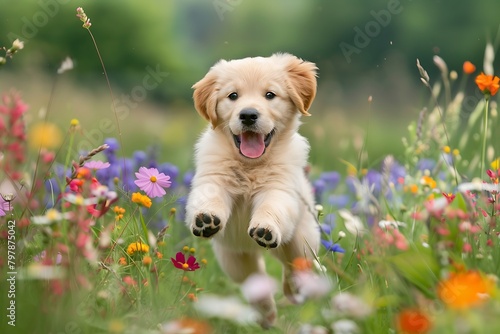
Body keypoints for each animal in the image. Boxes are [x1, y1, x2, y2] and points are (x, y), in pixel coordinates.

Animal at [185, 53, 320, 328]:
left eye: (270, 95)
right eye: (233, 96)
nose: (248, 115)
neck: (250, 165)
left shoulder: (280, 189)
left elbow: (271, 207)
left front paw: (265, 228)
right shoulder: (213, 178)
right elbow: (211, 197)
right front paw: (206, 219)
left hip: (301, 240)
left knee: (296, 266)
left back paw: (295, 290)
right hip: (234, 258)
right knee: (254, 280)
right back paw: (267, 315)